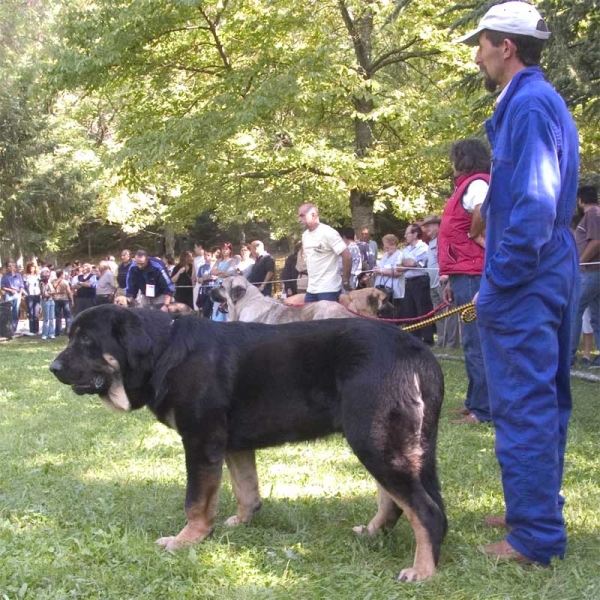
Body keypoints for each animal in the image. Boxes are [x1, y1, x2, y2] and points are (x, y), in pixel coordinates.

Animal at [50, 304, 446, 580]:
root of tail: (416, 350)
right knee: (396, 502)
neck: (163, 352)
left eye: (86, 341)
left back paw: (423, 571)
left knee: (426, 511)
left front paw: (187, 539)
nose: (53, 368)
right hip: (384, 442)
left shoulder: (200, 441)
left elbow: (196, 501)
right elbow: (246, 490)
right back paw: (374, 532)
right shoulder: (233, 445)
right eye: (71, 337)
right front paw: (241, 522)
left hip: (375, 439)